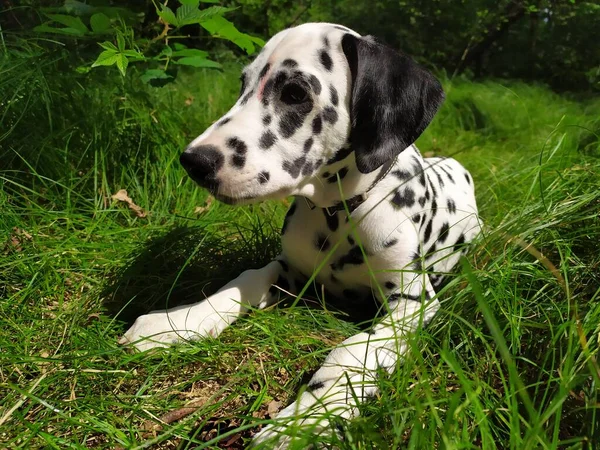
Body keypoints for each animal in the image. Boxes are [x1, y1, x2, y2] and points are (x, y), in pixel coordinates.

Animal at [119, 22, 480, 450]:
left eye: (294, 93)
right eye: (243, 84)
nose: (193, 161)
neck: (338, 214)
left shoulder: (412, 304)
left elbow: (351, 354)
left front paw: (307, 420)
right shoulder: (288, 270)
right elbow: (243, 280)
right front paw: (177, 321)